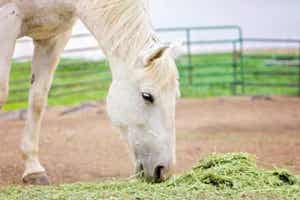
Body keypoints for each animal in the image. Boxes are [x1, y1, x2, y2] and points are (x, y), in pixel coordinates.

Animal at [0, 0, 180, 184]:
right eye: (147, 96)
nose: (162, 170)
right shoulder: (6, 21)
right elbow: (2, 92)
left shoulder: (53, 38)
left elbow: (37, 101)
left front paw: (34, 170)